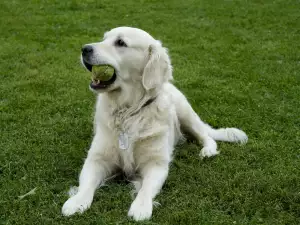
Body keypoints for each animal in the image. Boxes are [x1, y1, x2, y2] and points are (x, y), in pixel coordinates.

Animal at [61, 26, 248, 221]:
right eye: (103, 38)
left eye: (120, 42)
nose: (84, 49)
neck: (128, 111)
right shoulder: (97, 158)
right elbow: (86, 184)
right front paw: (76, 202)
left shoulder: (156, 163)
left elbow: (146, 188)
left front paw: (141, 207)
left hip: (185, 113)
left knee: (206, 136)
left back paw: (208, 151)